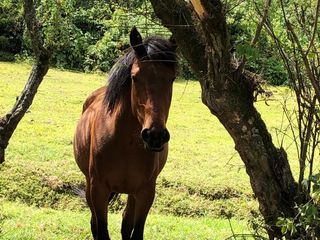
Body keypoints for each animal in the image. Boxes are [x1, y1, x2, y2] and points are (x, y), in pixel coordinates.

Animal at [74, 27, 178, 239]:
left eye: (172, 78)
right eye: (135, 77)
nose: (155, 135)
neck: (125, 143)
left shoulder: (146, 192)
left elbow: (135, 231)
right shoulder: (98, 189)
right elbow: (101, 229)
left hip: (132, 193)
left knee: (125, 222)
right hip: (90, 186)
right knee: (94, 223)